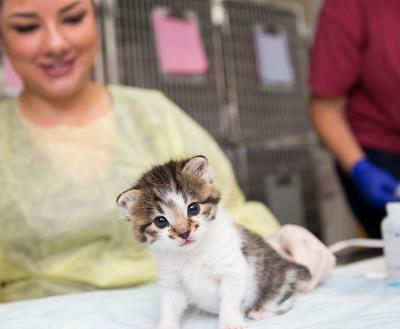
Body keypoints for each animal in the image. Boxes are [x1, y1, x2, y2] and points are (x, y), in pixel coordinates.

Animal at [115, 156, 310, 328]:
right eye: (160, 221)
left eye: (193, 208)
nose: (184, 233)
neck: (191, 253)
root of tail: (287, 265)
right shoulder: (171, 281)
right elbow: (169, 307)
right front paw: (165, 325)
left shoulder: (232, 269)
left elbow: (229, 300)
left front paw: (231, 323)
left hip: (274, 285)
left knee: (285, 301)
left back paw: (260, 311)